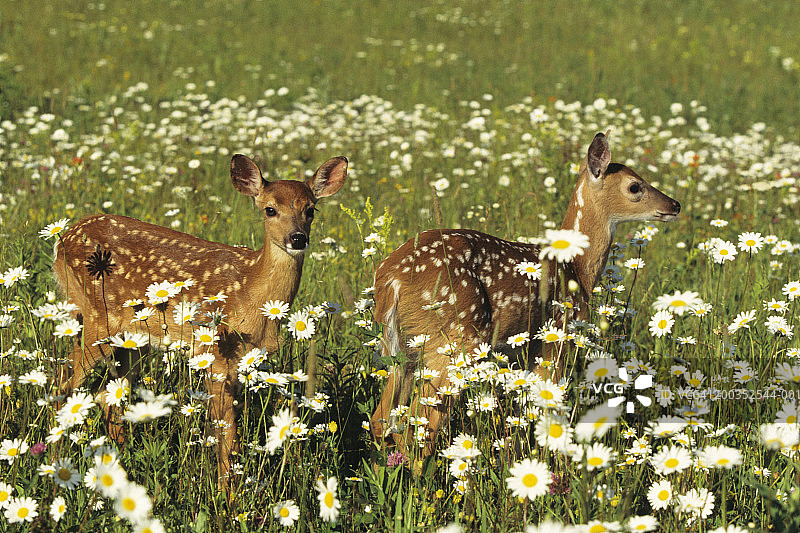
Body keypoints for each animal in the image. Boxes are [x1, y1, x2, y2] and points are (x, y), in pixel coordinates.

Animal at [53, 153, 347, 493]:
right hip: (95, 318)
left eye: (311, 209)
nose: (297, 238)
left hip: (132, 339)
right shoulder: (216, 352)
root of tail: (61, 241)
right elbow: (226, 432)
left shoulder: (242, 360)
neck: (250, 289)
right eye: (270, 209)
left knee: (110, 395)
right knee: (63, 383)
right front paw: (226, 496)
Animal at [369, 132, 680, 460]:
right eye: (635, 186)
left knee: (382, 419)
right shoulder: (557, 338)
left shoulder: (526, 353)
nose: (675, 205)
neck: (577, 269)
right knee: (419, 428)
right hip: (454, 337)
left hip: (404, 348)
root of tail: (390, 279)